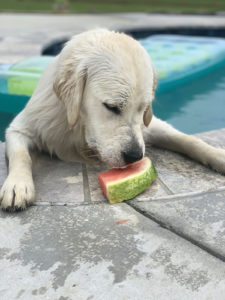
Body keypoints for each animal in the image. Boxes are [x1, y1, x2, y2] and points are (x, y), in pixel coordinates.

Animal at [0, 28, 225, 211]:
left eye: (143, 108)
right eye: (112, 107)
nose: (135, 157)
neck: (79, 129)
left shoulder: (147, 127)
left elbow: (188, 139)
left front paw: (216, 154)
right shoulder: (21, 127)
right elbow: (22, 155)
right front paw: (18, 185)